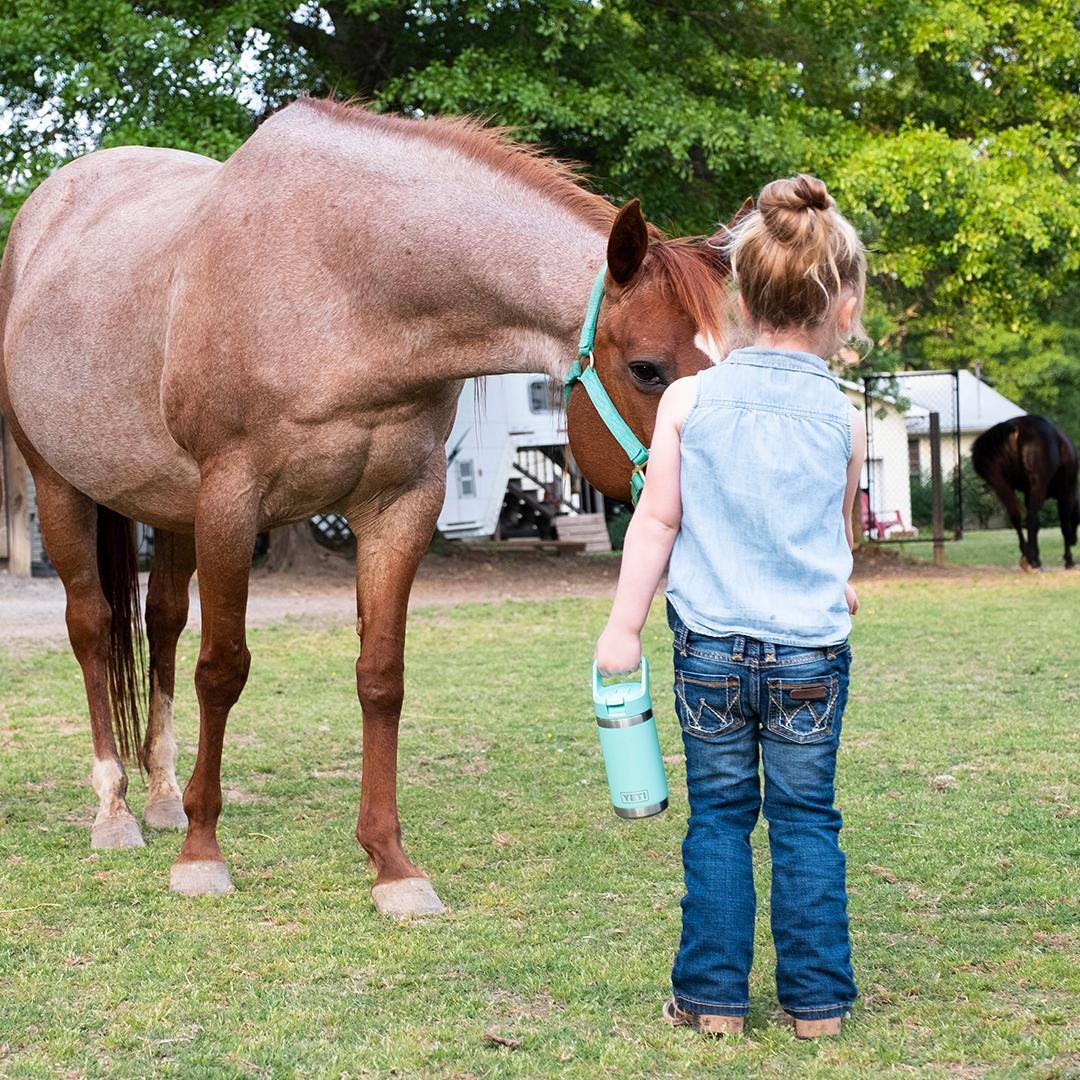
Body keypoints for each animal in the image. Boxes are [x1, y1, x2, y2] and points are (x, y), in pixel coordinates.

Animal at [0, 97, 734, 915]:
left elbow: (381, 677)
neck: (343, 286)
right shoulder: (231, 500)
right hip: (61, 486)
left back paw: (162, 796)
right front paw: (201, 854)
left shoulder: (399, 506)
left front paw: (392, 866)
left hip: (170, 508)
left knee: (159, 626)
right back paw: (116, 809)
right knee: (94, 628)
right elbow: (221, 670)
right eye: (646, 368)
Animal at [976, 410, 1075, 570]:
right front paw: (1069, 560)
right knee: (1031, 518)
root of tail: (1014, 429)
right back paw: (1033, 560)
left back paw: (1026, 555)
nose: (1075, 540)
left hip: (1003, 487)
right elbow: (1064, 526)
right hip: (1039, 486)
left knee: (1016, 517)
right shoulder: (1066, 495)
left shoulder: (1028, 494)